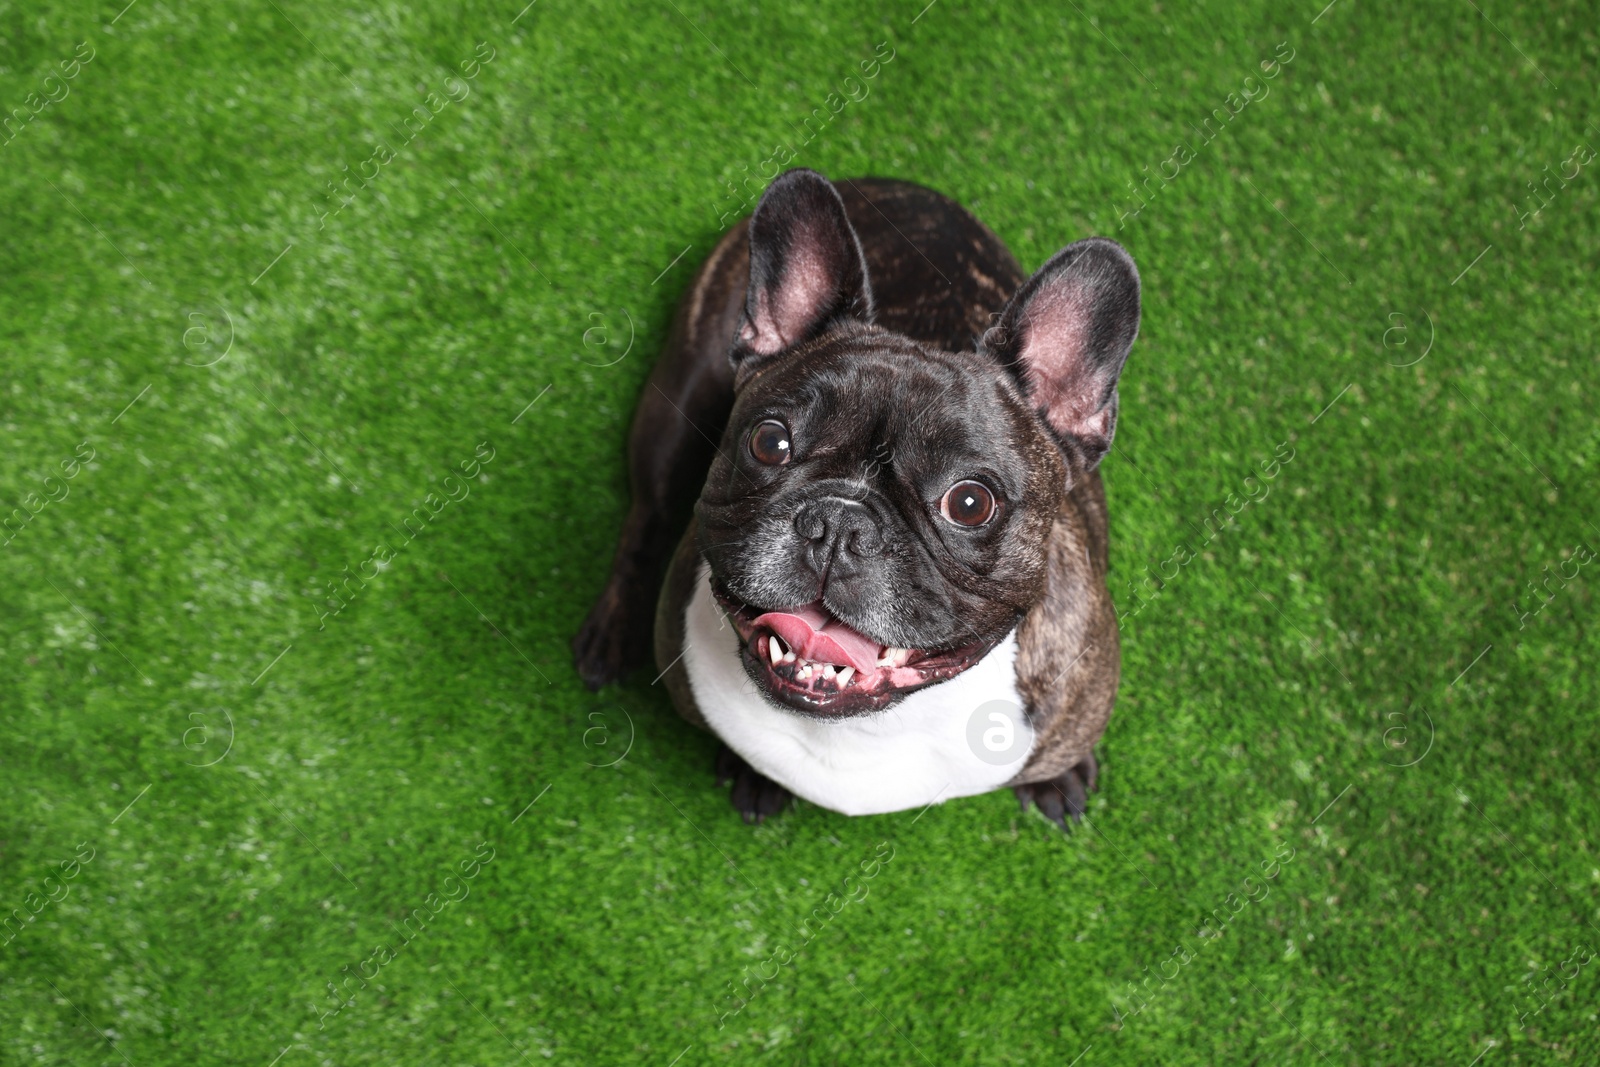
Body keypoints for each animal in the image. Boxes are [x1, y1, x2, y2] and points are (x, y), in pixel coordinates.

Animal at [576, 168, 1139, 831]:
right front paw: (752, 773)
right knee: (646, 517)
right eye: (770, 442)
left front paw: (1057, 776)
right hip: (674, 403)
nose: (839, 524)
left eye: (970, 504)